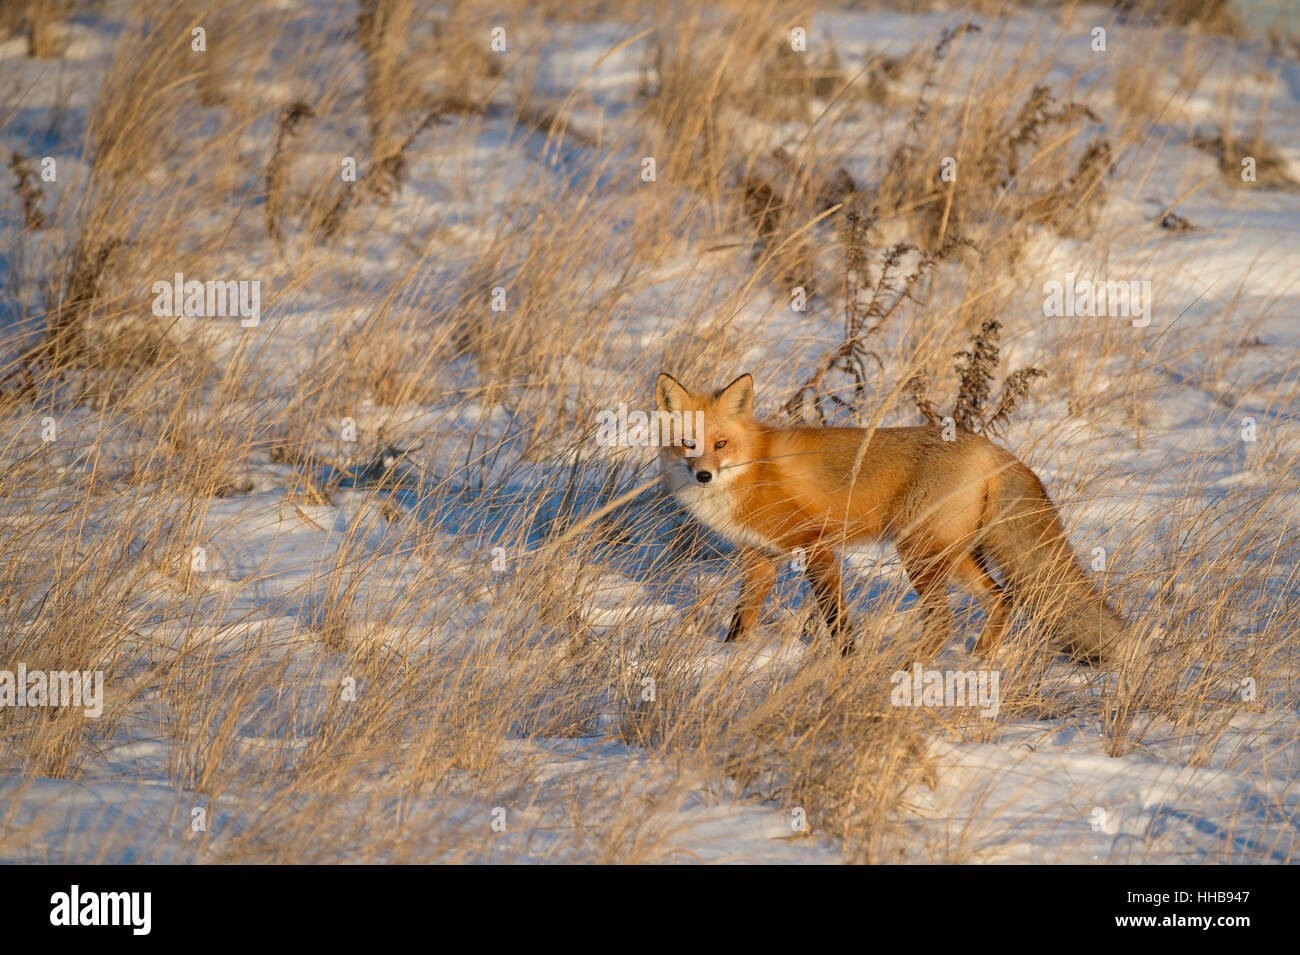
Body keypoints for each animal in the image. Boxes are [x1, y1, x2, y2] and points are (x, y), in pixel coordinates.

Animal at [655, 374, 1133, 665]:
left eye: (721, 444)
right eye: (687, 443)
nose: (702, 475)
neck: (752, 469)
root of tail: (993, 449)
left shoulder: (816, 545)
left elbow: (837, 620)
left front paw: (848, 663)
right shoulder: (759, 557)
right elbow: (741, 621)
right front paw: (727, 657)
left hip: (919, 553)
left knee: (944, 620)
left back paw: (908, 669)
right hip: (955, 557)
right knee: (1002, 599)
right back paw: (977, 661)